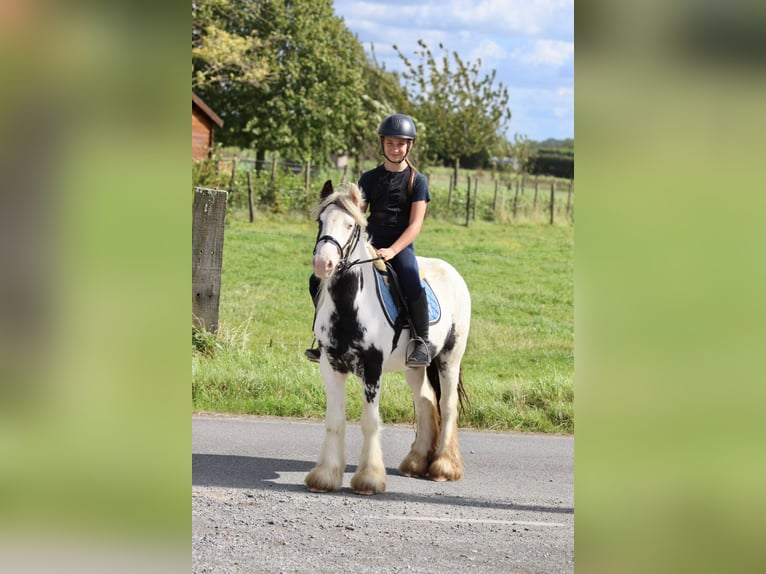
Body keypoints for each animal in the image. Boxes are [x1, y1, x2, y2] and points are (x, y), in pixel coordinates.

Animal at [304, 182, 472, 498]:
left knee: (447, 405)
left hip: (449, 359)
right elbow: (334, 420)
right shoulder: (330, 365)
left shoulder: (372, 368)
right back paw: (416, 462)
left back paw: (443, 467)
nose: (323, 263)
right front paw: (325, 476)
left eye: (350, 225)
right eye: (321, 221)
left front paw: (369, 479)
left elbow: (370, 421)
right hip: (414, 366)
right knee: (426, 401)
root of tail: (453, 272)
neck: (351, 306)